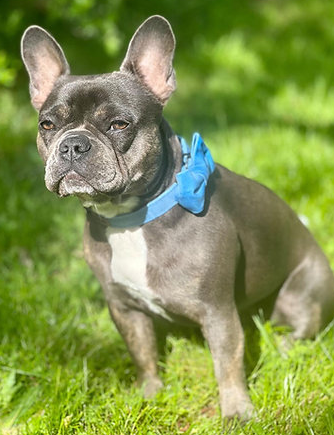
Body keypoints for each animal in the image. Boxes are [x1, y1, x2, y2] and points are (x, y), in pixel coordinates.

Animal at [20, 15, 334, 420]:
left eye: (119, 125)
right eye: (47, 125)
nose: (73, 144)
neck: (131, 219)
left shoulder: (217, 312)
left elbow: (227, 363)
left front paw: (236, 411)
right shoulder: (125, 309)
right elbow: (143, 353)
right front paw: (149, 393)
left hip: (300, 295)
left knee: (300, 328)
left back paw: (284, 349)